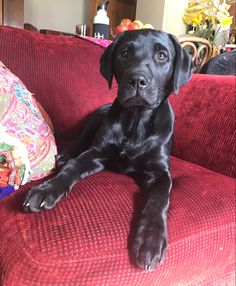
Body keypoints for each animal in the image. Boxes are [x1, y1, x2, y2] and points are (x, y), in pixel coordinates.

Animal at [23, 29, 192, 270]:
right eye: (124, 53)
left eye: (162, 56)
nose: (137, 80)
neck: (136, 121)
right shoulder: (96, 153)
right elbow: (73, 166)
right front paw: (47, 189)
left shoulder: (160, 172)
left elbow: (160, 196)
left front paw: (151, 239)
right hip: (97, 117)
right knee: (79, 142)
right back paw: (65, 154)